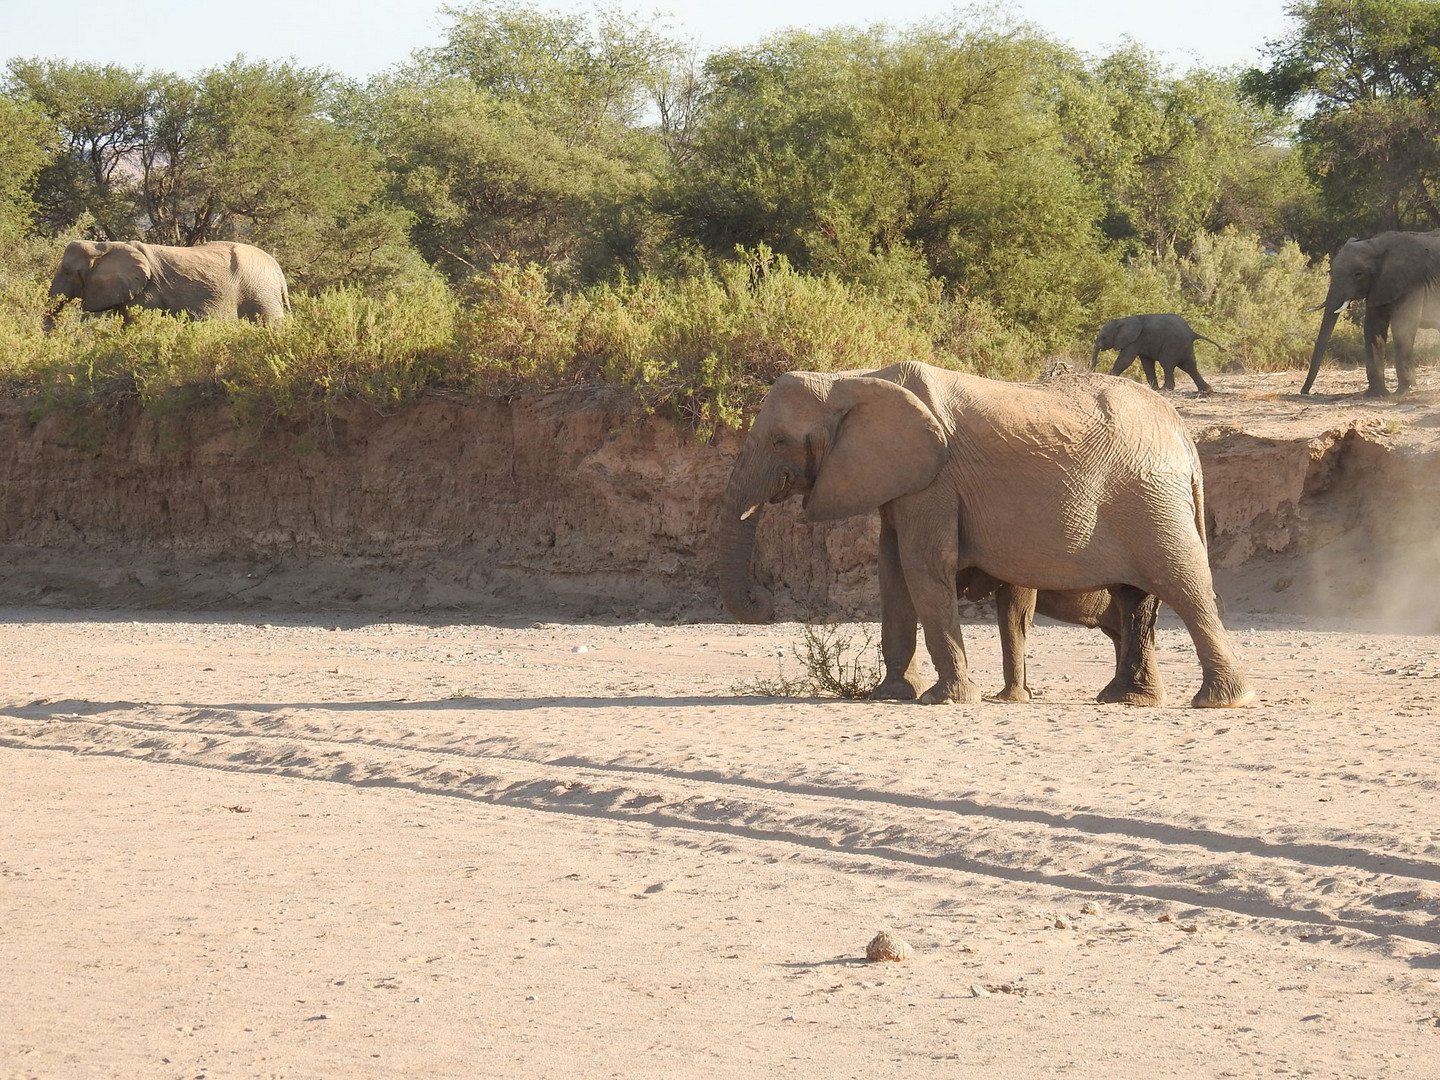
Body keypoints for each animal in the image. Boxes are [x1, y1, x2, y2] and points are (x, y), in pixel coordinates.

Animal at [720, 364, 1249, 711]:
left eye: (779, 440)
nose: (763, 599)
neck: (849, 377)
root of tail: (1185, 438)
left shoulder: (935, 480)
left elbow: (922, 565)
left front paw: (945, 699)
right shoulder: (902, 482)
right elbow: (892, 573)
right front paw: (892, 694)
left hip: (1151, 500)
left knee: (1185, 584)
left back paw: (1219, 702)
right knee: (1135, 596)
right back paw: (1128, 699)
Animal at [1301, 231, 1440, 397]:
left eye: (1358, 274)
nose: (1304, 392)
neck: (1377, 244)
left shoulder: (1413, 283)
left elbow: (1403, 327)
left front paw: (1403, 392)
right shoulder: (1378, 286)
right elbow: (1373, 329)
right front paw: (1377, 394)